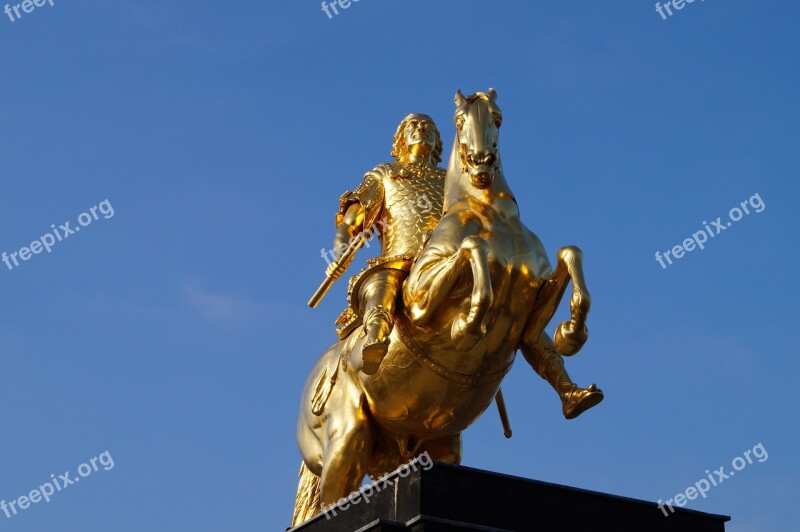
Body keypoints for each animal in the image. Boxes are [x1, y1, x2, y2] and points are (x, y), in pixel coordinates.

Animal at [290, 89, 604, 524]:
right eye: (459, 120)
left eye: (498, 117)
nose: (482, 162)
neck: (490, 216)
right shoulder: (421, 300)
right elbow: (472, 250)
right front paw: (470, 322)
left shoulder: (533, 302)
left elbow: (570, 256)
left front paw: (571, 334)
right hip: (347, 440)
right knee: (333, 499)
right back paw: (374, 346)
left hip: (435, 443)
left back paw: (577, 395)